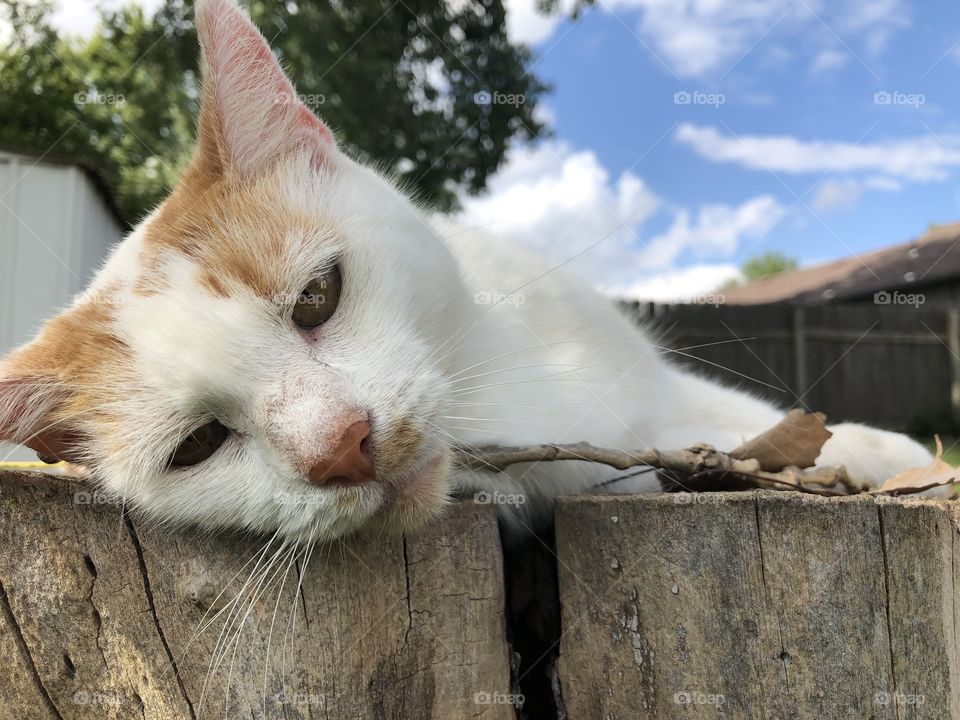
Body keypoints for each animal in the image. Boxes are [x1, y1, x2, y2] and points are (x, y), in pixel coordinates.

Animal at [0, 0, 932, 540]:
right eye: (196, 445)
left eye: (317, 297)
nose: (341, 445)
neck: (499, 378)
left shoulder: (652, 386)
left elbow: (740, 417)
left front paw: (880, 452)